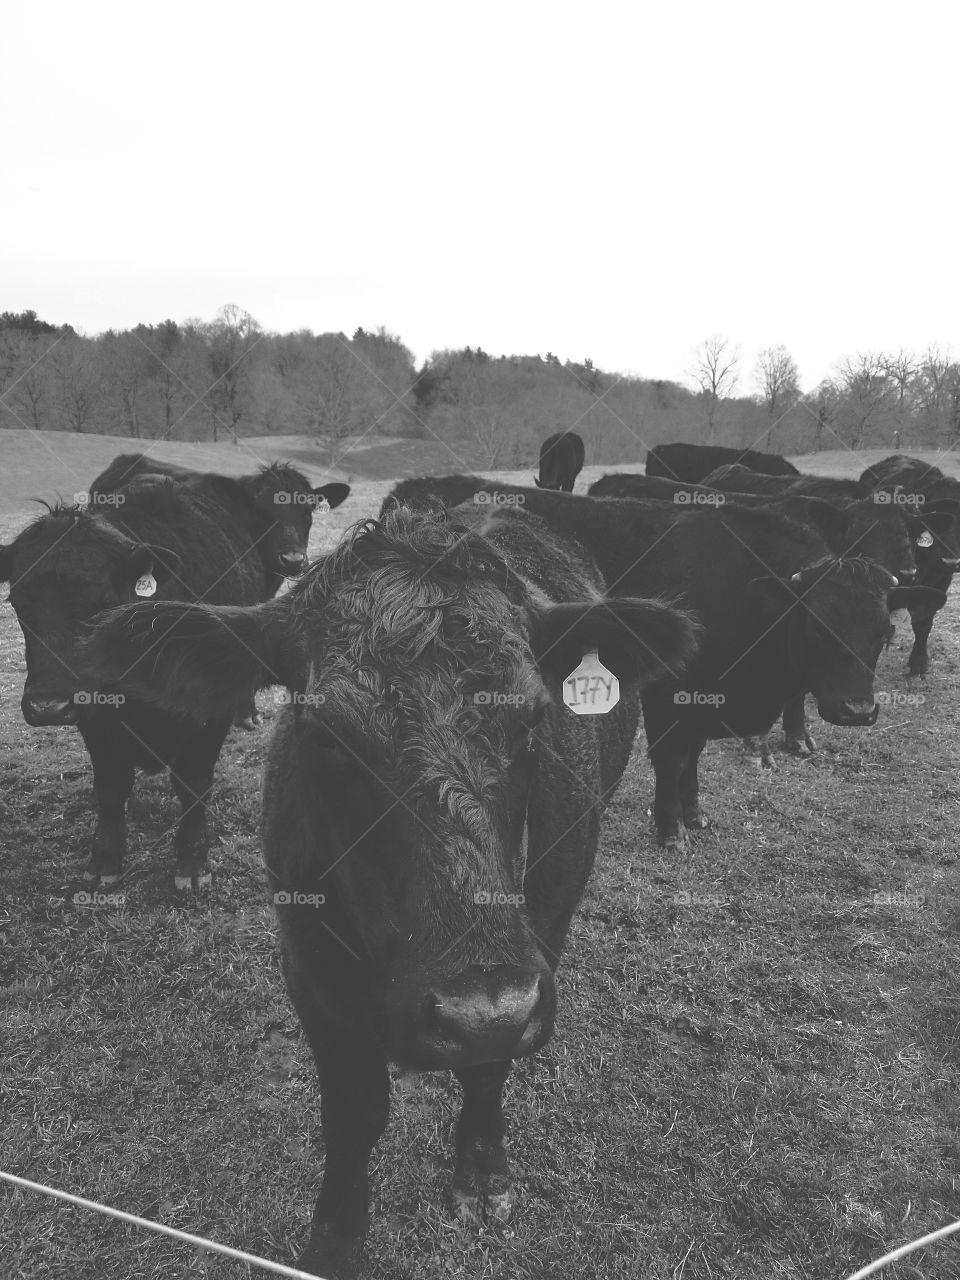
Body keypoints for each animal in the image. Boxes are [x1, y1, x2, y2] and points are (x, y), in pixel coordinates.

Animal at [0, 477, 273, 890]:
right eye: (17, 601)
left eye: (102, 602)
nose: (48, 707)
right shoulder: (96, 714)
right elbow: (112, 787)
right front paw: (105, 859)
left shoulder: (209, 713)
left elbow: (193, 783)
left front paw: (192, 861)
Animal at [74, 506, 698, 1277]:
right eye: (325, 734)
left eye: (529, 717)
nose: (474, 1009)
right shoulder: (308, 961)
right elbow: (353, 1111)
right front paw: (333, 1241)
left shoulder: (541, 941)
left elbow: (491, 1060)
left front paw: (482, 1171)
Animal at [449, 487, 943, 848]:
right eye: (818, 628)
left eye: (884, 633)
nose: (858, 711)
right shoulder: (666, 696)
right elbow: (671, 759)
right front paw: (671, 830)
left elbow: (693, 757)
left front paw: (695, 814)